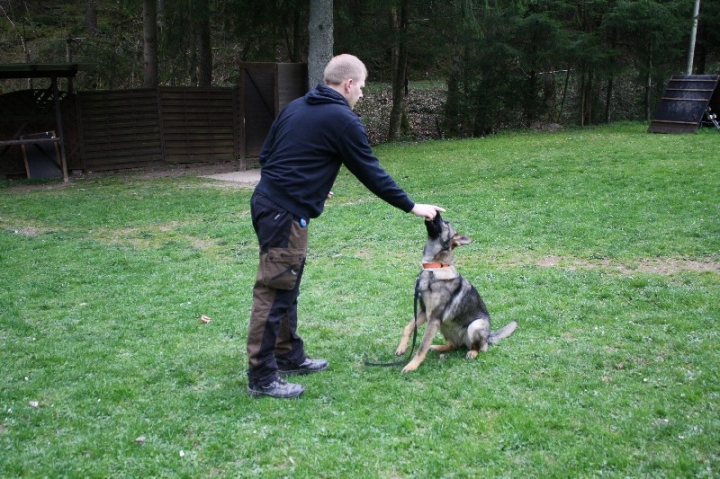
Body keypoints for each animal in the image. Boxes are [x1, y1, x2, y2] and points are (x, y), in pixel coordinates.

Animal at [394, 214, 516, 376]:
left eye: (445, 223)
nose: (437, 213)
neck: (435, 267)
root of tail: (488, 337)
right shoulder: (425, 312)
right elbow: (408, 327)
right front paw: (402, 348)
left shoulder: (433, 317)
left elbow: (421, 347)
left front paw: (412, 365)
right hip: (443, 325)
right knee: (453, 345)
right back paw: (438, 347)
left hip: (474, 326)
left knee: (479, 348)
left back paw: (472, 353)